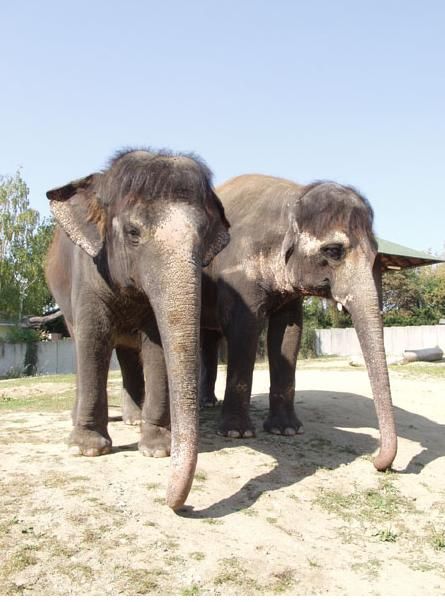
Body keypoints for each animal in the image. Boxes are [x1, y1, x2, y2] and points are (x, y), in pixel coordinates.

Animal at [44, 146, 229, 506]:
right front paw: (88, 449)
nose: (177, 504)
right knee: (84, 346)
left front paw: (157, 449)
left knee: (129, 355)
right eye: (133, 233)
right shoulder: (89, 271)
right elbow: (93, 339)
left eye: (203, 239)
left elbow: (155, 346)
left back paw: (132, 419)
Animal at [198, 176, 396, 472]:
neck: (293, 197)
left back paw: (209, 403)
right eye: (334, 251)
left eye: (375, 256)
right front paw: (236, 433)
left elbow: (289, 333)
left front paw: (287, 430)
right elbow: (245, 329)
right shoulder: (238, 273)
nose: (376, 462)